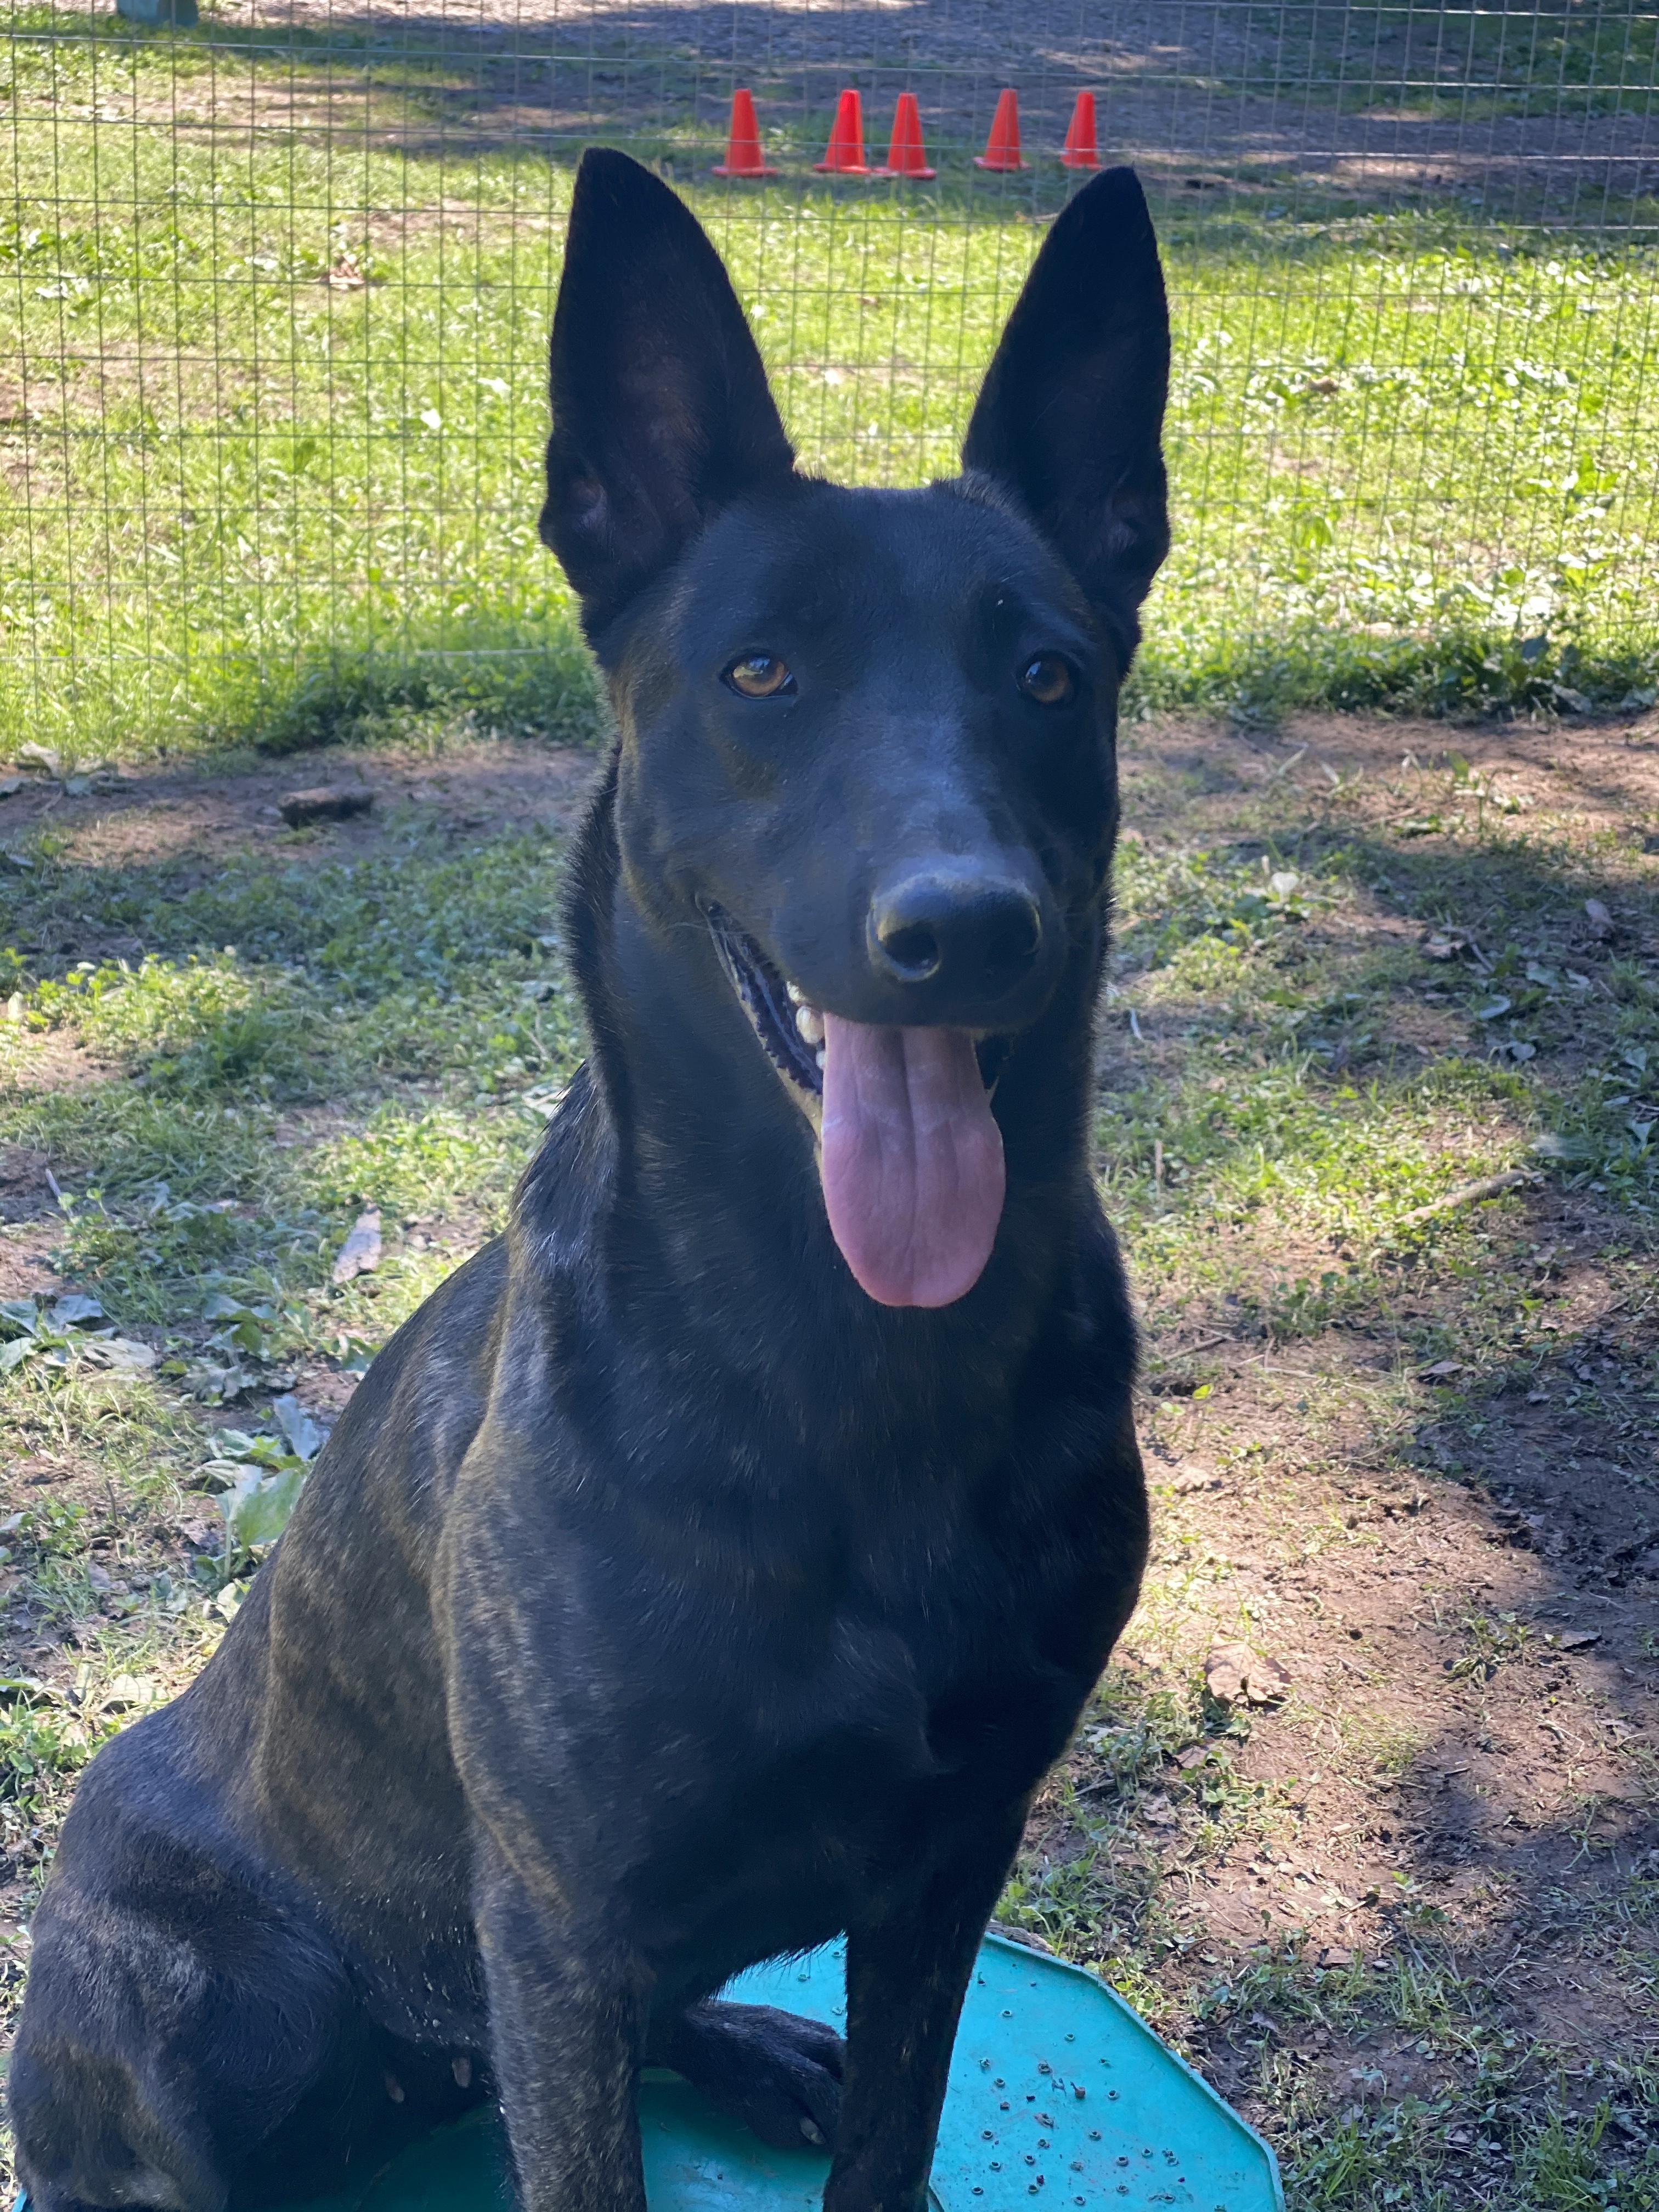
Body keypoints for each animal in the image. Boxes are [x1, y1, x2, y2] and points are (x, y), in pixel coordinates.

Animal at [11, 147, 1168, 2212]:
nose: (965, 929)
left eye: (1046, 675)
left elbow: (891, 2142)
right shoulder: (555, 1911)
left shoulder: (949, 1860)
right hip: (191, 1989)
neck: (852, 1346)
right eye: (759, 671)